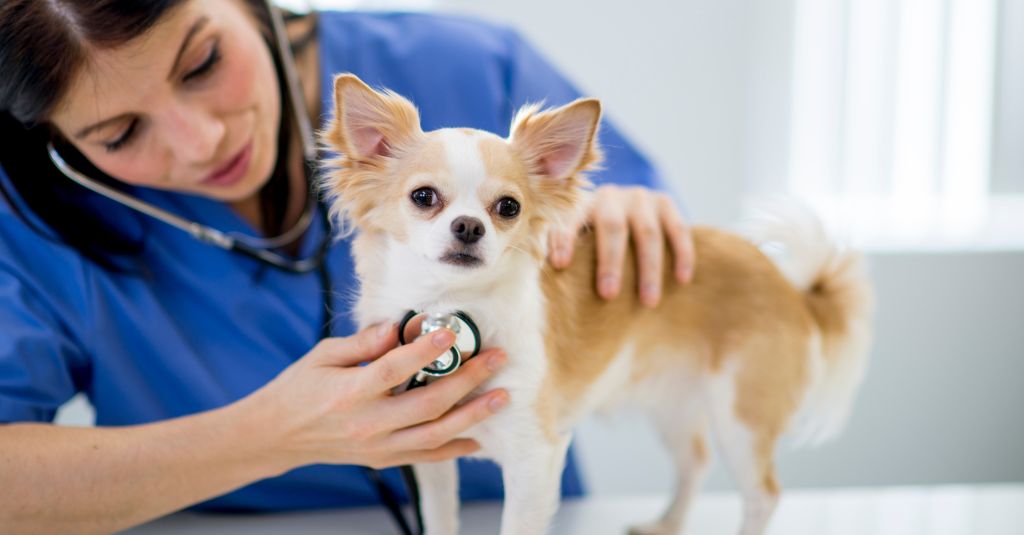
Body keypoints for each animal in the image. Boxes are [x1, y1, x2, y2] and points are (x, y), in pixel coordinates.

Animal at [319, 71, 872, 532]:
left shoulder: (534, 455)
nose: (470, 226)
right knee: (695, 459)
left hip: (742, 415)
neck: (450, 306)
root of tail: (791, 287)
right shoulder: (430, 459)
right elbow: (440, 521)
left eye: (508, 207)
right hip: (676, 400)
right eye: (423, 197)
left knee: (762, 495)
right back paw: (665, 524)